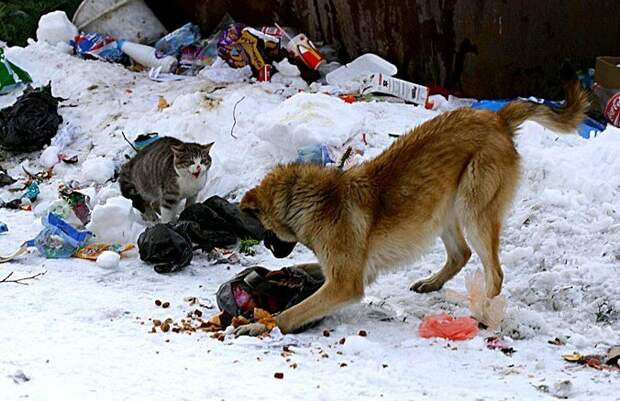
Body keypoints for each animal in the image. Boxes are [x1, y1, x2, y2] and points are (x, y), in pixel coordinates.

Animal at [241, 80, 588, 332]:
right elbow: (302, 268)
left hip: (472, 211)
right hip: (442, 209)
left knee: (495, 273)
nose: (268, 248)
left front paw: (259, 325)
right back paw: (433, 283)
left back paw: (484, 313)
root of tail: (498, 118)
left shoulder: (345, 284)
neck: (316, 200)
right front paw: (278, 276)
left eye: (265, 230)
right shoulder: (348, 271)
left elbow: (290, 315)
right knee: (461, 254)